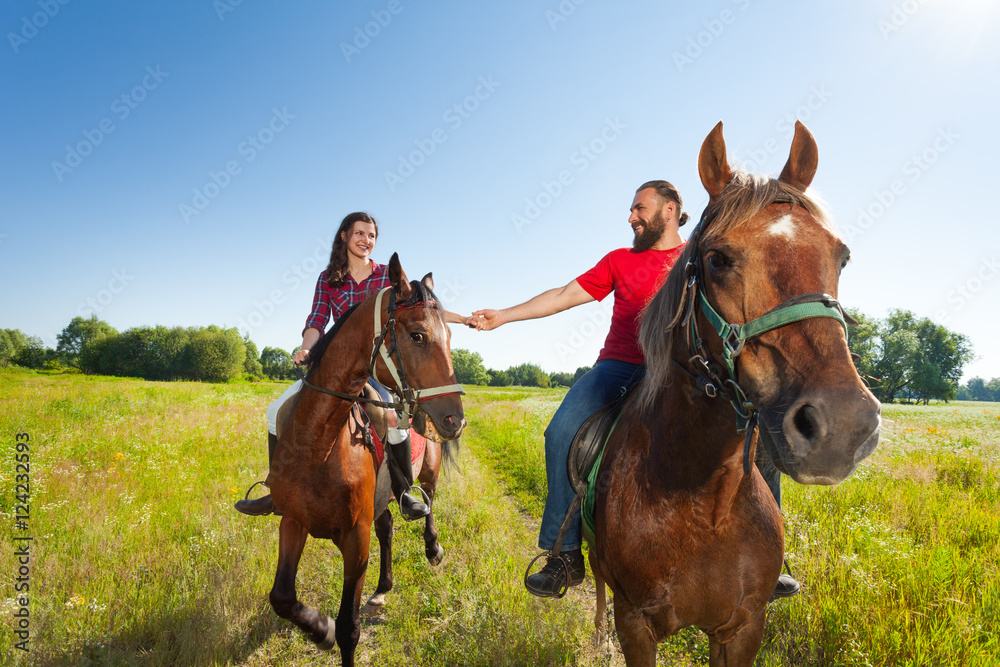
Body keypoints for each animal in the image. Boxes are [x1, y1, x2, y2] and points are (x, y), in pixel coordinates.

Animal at [268, 253, 466, 664]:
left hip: (429, 472)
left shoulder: (355, 542)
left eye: (450, 336)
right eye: (418, 335)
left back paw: (432, 548)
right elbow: (281, 597)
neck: (318, 444)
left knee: (428, 501)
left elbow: (349, 628)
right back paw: (383, 588)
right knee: (388, 526)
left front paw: (331, 629)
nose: (455, 419)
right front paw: (320, 628)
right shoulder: (292, 521)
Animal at [584, 121, 884, 667]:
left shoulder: (743, 627)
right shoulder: (635, 624)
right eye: (717, 259)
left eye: (842, 257)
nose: (843, 426)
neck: (702, 499)